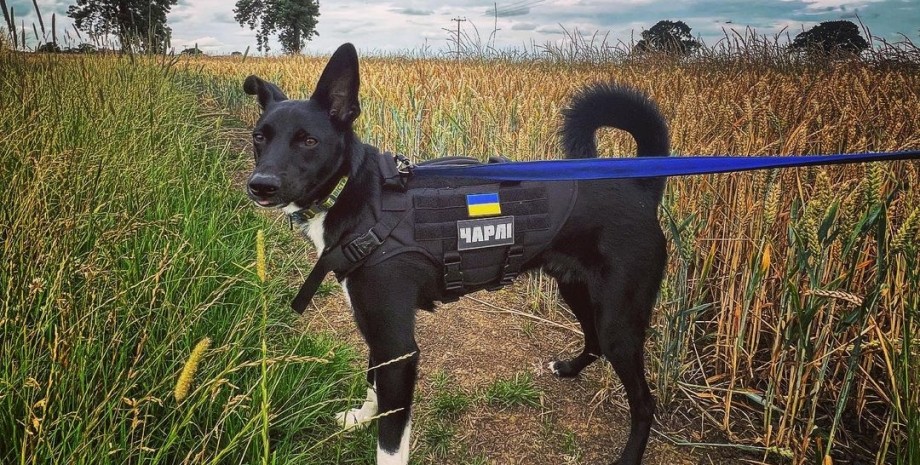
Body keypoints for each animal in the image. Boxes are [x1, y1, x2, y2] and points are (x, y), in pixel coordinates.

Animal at [244, 41, 668, 462]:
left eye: (309, 141)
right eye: (259, 137)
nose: (260, 185)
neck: (358, 196)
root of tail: (640, 189)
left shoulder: (399, 348)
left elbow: (390, 443)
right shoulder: (379, 332)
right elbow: (371, 382)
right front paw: (361, 417)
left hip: (618, 319)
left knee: (644, 402)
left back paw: (629, 455)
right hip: (578, 290)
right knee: (594, 342)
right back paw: (568, 368)